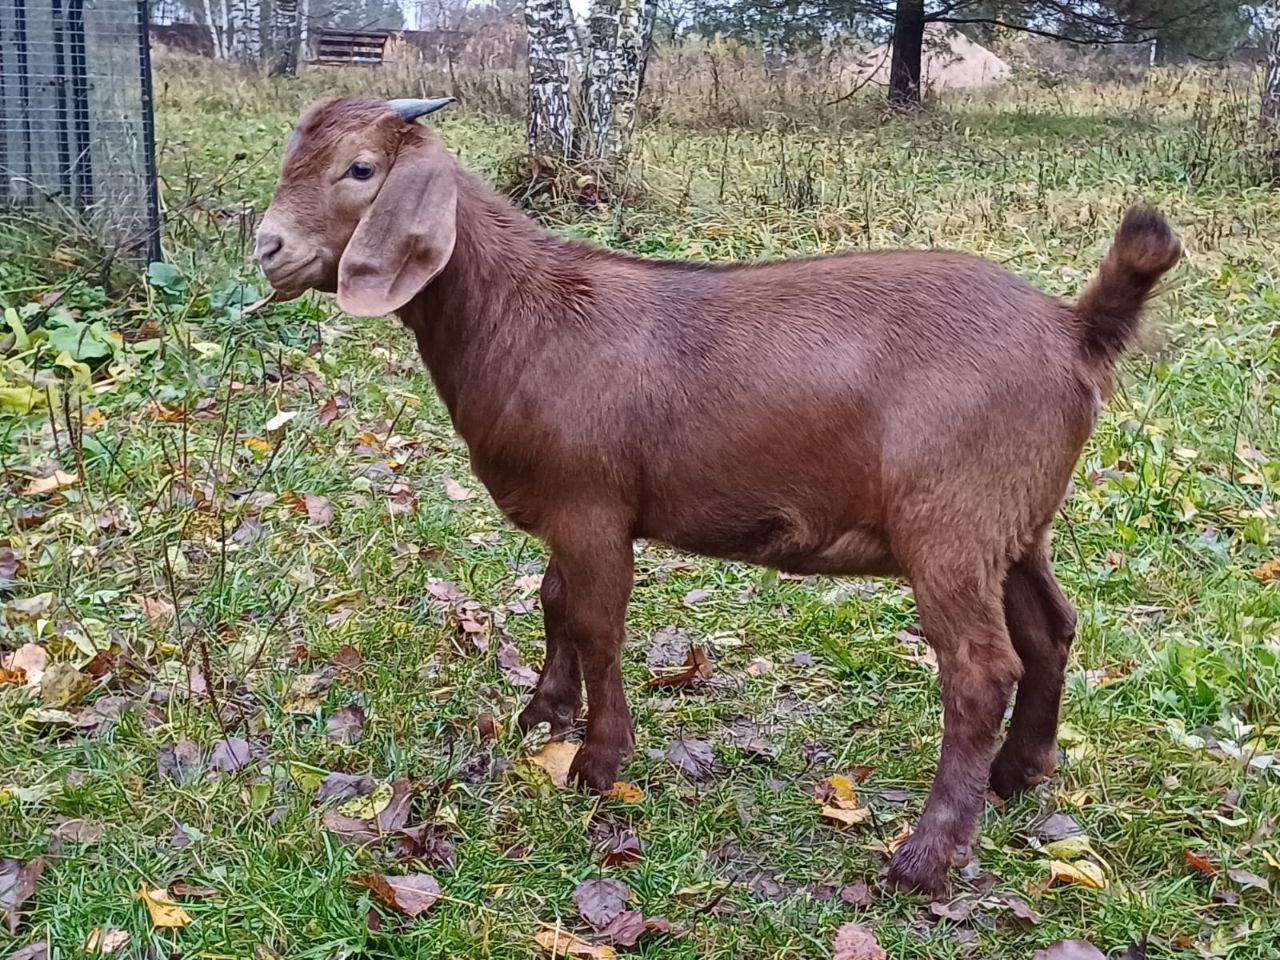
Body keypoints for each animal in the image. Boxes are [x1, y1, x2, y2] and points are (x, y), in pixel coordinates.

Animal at [255, 96, 1180, 896]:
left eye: (361, 168)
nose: (266, 246)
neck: (525, 313)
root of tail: (1073, 329)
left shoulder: (592, 506)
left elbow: (595, 623)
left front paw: (598, 765)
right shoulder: (566, 510)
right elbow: (553, 602)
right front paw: (542, 717)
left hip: (951, 520)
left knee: (981, 669)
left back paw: (925, 857)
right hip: (1016, 520)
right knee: (1051, 628)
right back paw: (1017, 775)